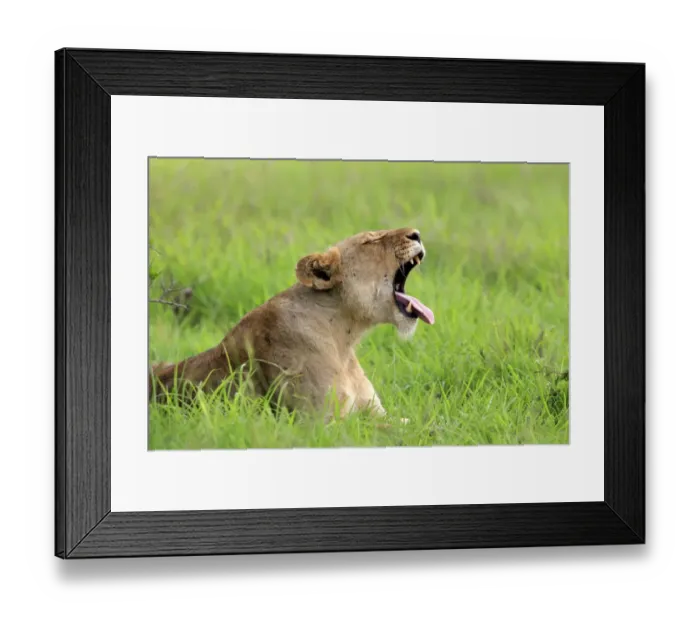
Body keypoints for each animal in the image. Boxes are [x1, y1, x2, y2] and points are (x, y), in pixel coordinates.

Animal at [149, 227, 435, 420]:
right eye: (370, 240)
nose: (417, 234)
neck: (343, 339)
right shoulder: (320, 423)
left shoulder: (375, 412)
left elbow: (416, 424)